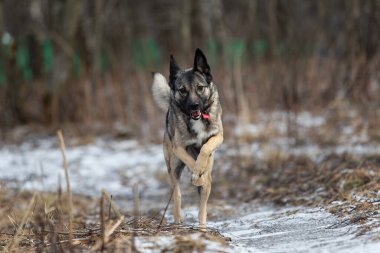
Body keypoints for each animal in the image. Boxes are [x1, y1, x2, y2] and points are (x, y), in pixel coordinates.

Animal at [151, 48, 223, 226]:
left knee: (202, 208)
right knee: (177, 197)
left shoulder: (218, 136)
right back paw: (179, 220)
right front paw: (196, 174)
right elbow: (191, 162)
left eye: (200, 87)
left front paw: (199, 171)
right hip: (173, 169)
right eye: (182, 90)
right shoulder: (178, 148)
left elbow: (205, 147)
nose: (194, 106)